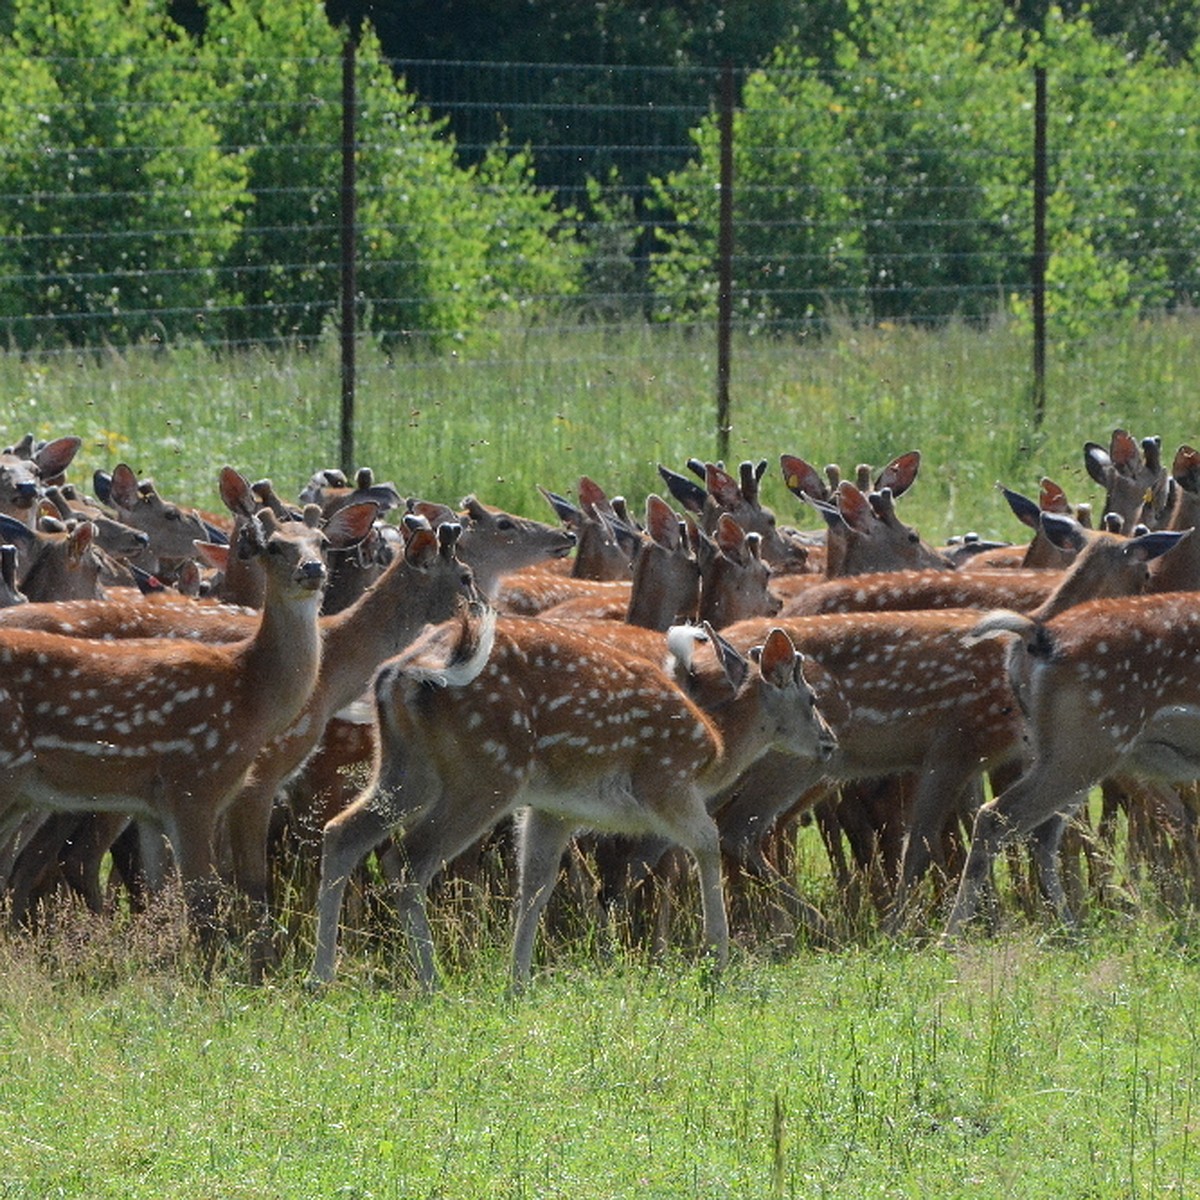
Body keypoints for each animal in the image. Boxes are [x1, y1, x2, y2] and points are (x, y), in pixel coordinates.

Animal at [309, 614, 835, 988]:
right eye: (811, 698)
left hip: (406, 767)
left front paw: (518, 980)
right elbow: (707, 842)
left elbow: (535, 884)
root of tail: (402, 671)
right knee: (407, 859)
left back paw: (322, 977)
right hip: (487, 771)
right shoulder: (665, 780)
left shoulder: (553, 808)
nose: (829, 742)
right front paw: (717, 959)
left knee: (342, 833)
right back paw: (431, 980)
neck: (717, 749)